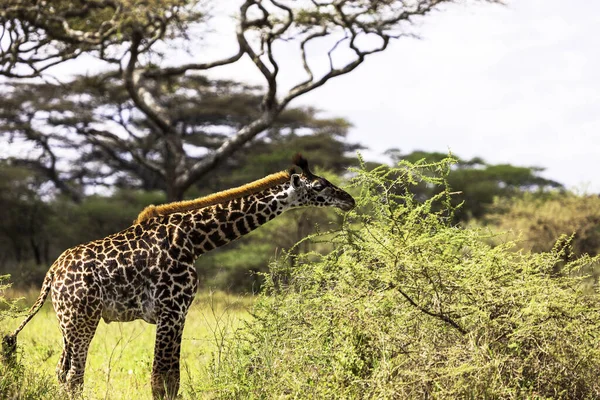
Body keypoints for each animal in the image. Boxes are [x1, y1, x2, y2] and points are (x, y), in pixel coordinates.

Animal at [1, 155, 356, 398]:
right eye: (320, 186)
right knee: (74, 374)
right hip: (82, 318)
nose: (349, 199)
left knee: (63, 372)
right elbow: (161, 380)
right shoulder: (171, 310)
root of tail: (51, 275)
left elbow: (171, 380)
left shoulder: (179, 313)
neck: (195, 239)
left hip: (67, 321)